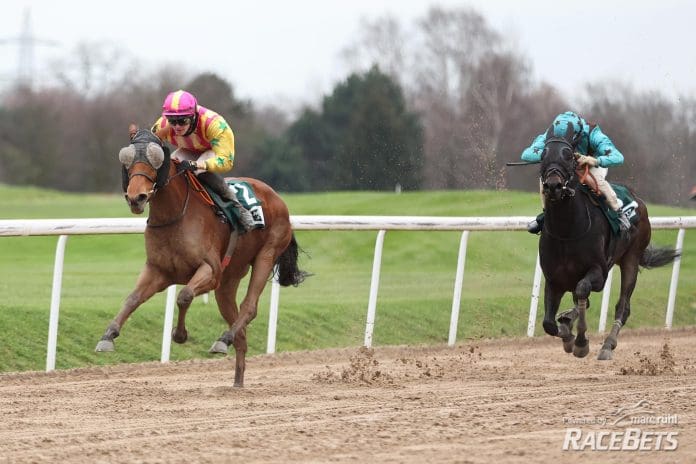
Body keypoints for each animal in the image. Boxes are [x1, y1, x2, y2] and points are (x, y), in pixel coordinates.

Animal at [95, 129, 308, 386]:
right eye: (127, 160)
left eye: (155, 160)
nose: (136, 198)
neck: (174, 215)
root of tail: (277, 198)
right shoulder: (158, 270)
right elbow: (132, 299)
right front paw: (108, 335)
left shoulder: (211, 271)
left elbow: (184, 295)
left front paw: (179, 334)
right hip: (228, 280)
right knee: (239, 328)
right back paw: (237, 378)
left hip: (267, 254)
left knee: (249, 307)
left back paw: (224, 339)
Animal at [536, 121, 676, 360]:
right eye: (543, 154)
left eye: (568, 155)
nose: (553, 186)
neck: (567, 232)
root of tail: (638, 200)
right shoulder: (554, 279)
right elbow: (548, 323)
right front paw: (568, 335)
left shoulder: (599, 273)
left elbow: (583, 290)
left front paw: (580, 342)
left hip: (631, 259)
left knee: (622, 307)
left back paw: (607, 345)